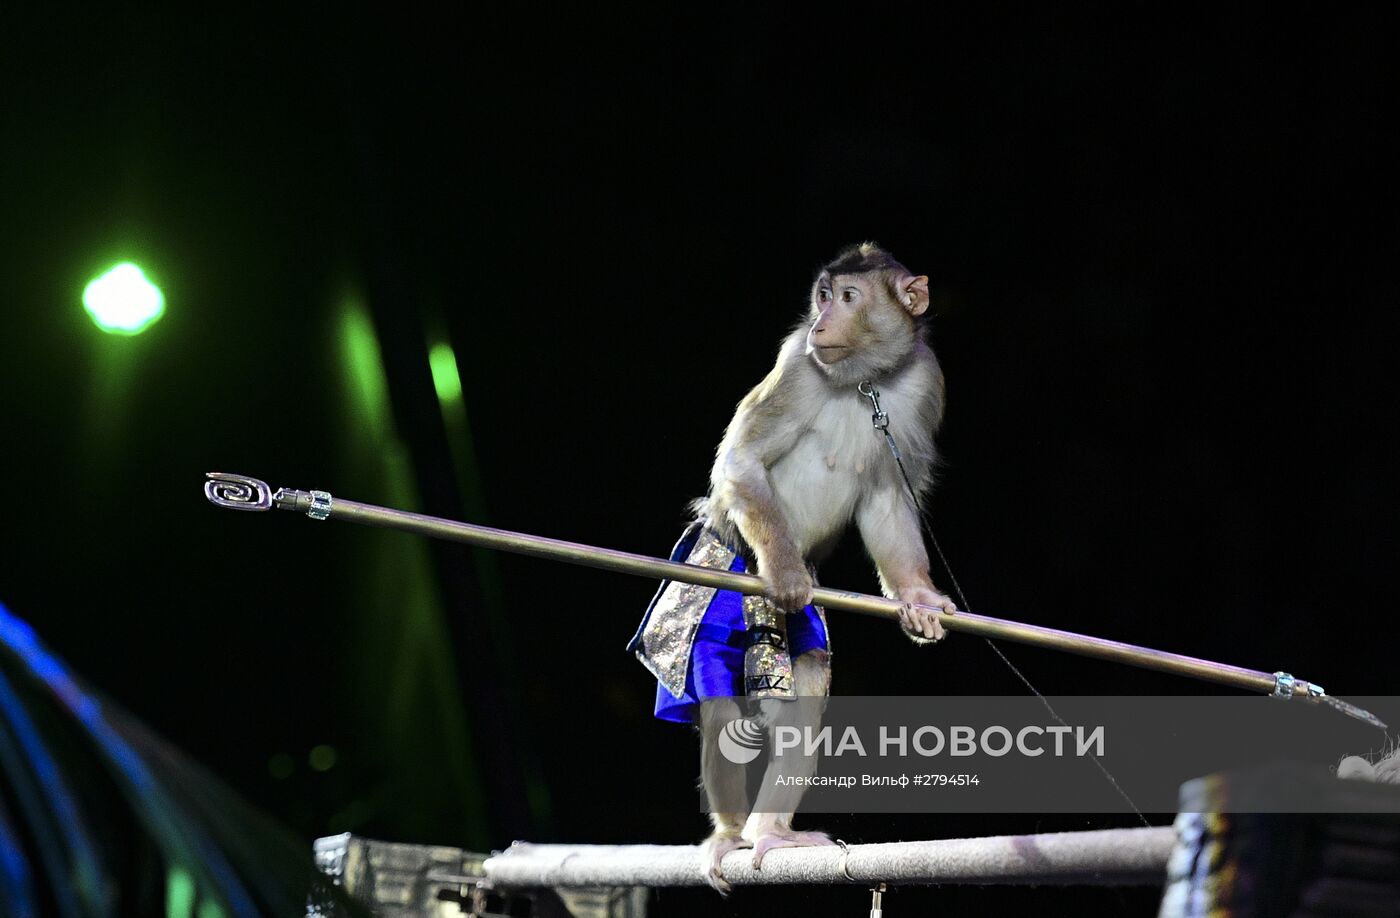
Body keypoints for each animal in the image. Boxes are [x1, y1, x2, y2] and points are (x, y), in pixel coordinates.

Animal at [630, 240, 957, 895]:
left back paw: (772, 831)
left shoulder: (924, 380)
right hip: (708, 606)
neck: (865, 380)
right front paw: (783, 573)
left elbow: (888, 499)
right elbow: (744, 462)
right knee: (723, 709)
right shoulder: (797, 365)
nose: (821, 323)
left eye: (849, 298)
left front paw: (916, 597)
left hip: (798, 637)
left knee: (804, 691)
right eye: (823, 297)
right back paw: (732, 833)